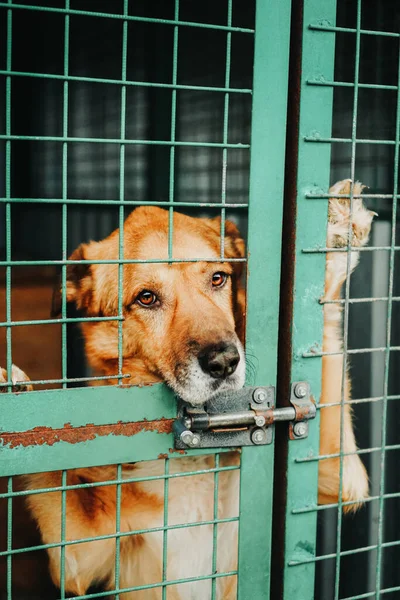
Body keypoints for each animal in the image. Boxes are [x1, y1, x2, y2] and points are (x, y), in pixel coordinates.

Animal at [1, 180, 374, 596]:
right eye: (146, 297)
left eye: (218, 278)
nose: (225, 362)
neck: (189, 460)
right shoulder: (78, 560)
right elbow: (45, 471)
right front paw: (19, 402)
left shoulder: (339, 475)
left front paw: (334, 237)